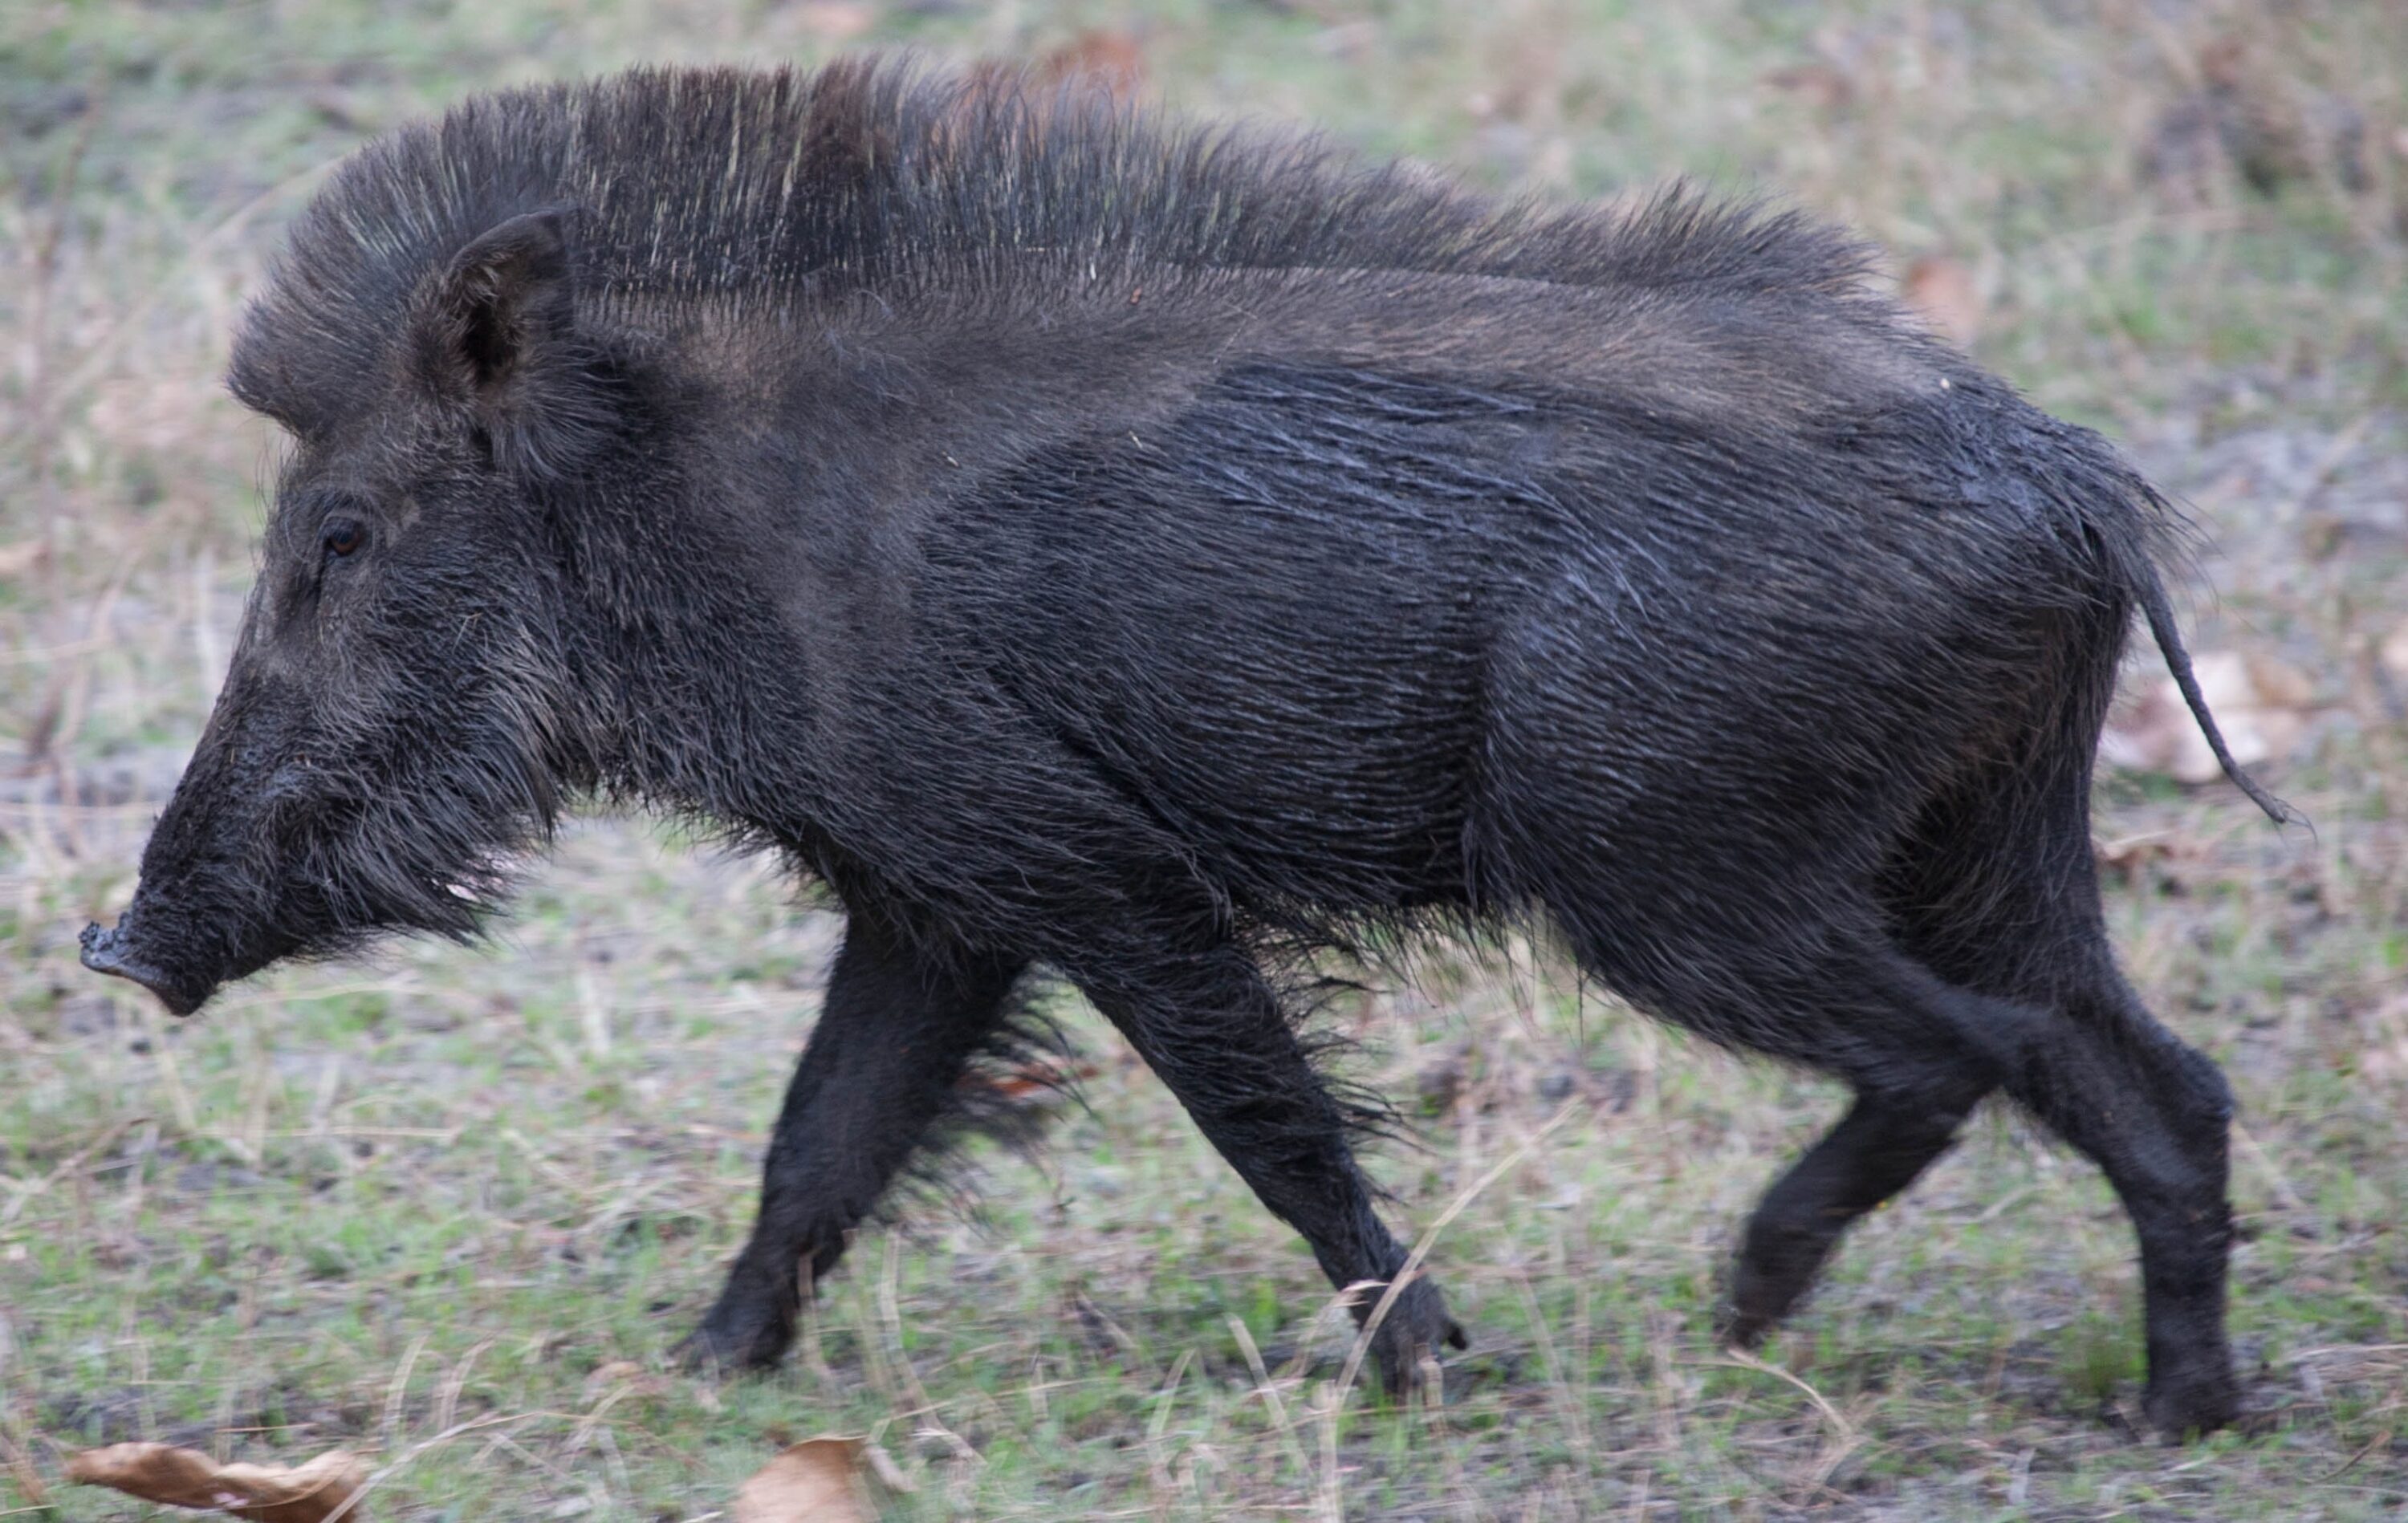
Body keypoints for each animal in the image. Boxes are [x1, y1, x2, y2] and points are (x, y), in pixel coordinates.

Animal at [79, 60, 2289, 1434]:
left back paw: (1741, 1308)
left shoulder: (1087, 861)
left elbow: (1268, 1125)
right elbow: (820, 1143)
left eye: (340, 536)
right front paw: (691, 1378)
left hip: (1676, 869)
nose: (115, 943)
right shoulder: (936, 897)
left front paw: (1433, 1369)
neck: (703, 512)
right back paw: (2175, 1415)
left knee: (1960, 1058)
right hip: (1983, 845)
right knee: (2155, 1081)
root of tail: (2073, 489)